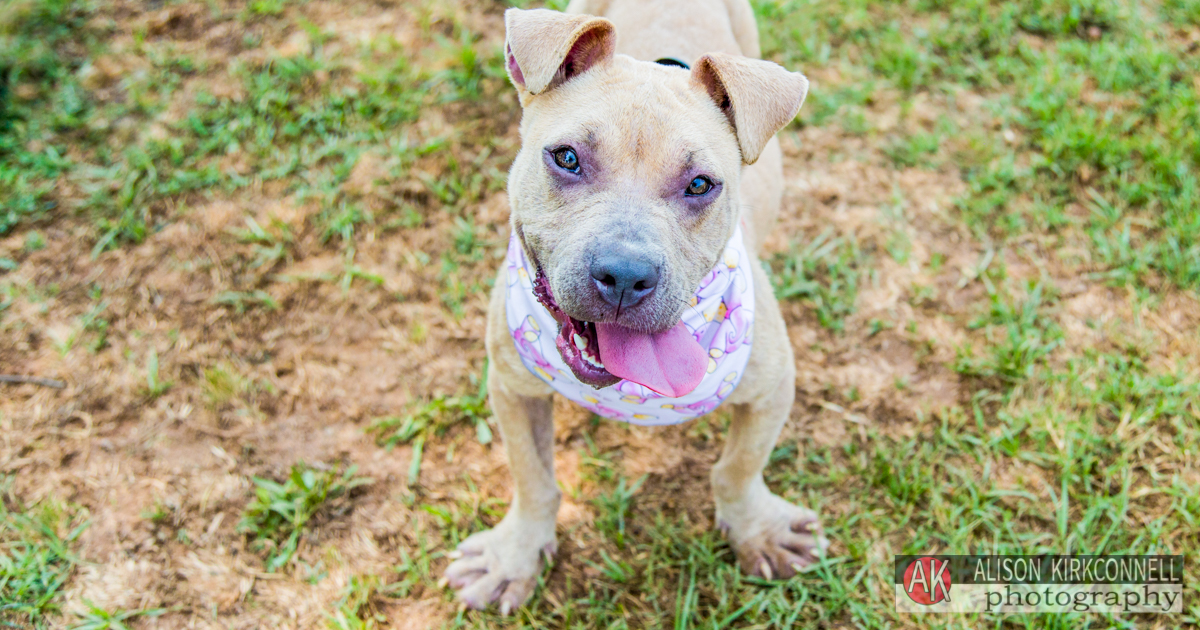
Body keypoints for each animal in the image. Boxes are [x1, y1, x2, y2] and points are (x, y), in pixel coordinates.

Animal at [441, 0, 825, 609]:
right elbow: (532, 477)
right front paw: (515, 556)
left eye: (700, 185)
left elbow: (738, 468)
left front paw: (757, 530)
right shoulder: (511, 387)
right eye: (566, 158)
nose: (624, 274)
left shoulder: (772, 387)